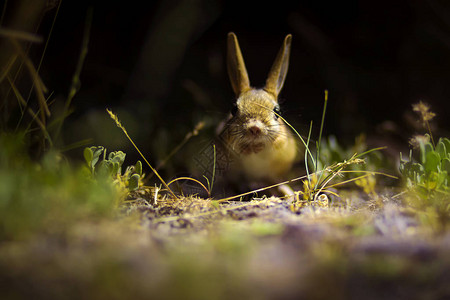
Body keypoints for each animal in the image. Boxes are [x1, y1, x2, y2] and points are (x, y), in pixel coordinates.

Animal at [217, 31, 300, 193]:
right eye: (234, 109)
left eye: (277, 111)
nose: (254, 128)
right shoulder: (226, 139)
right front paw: (248, 148)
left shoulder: (281, 141)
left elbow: (275, 143)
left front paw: (257, 147)